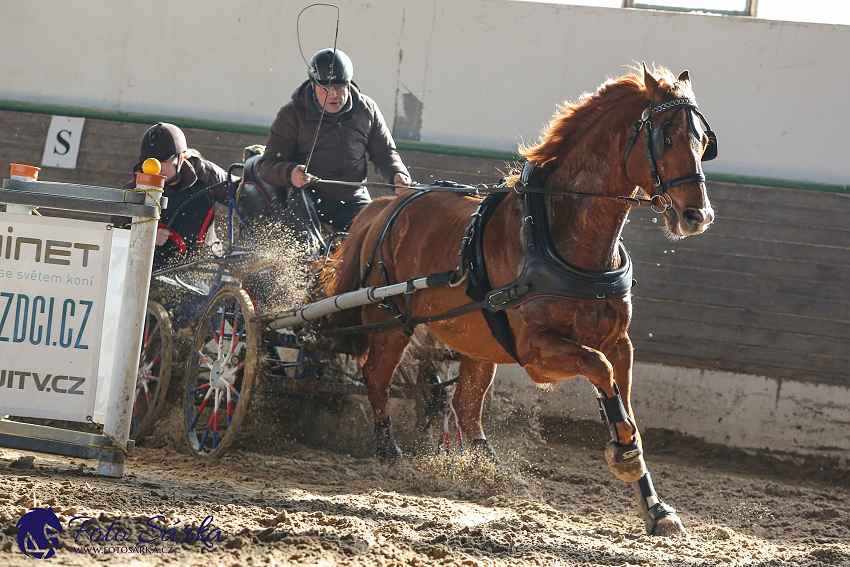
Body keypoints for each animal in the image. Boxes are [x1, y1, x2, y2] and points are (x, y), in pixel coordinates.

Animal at [324, 66, 716, 536]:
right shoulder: (535, 351)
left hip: (477, 341)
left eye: (703, 141)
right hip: (390, 324)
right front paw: (623, 454)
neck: (561, 233)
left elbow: (622, 401)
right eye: (666, 138)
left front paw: (656, 507)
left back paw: (491, 470)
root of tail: (387, 206)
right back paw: (391, 454)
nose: (697, 215)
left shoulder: (619, 343)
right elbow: (599, 371)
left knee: (464, 406)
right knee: (376, 379)